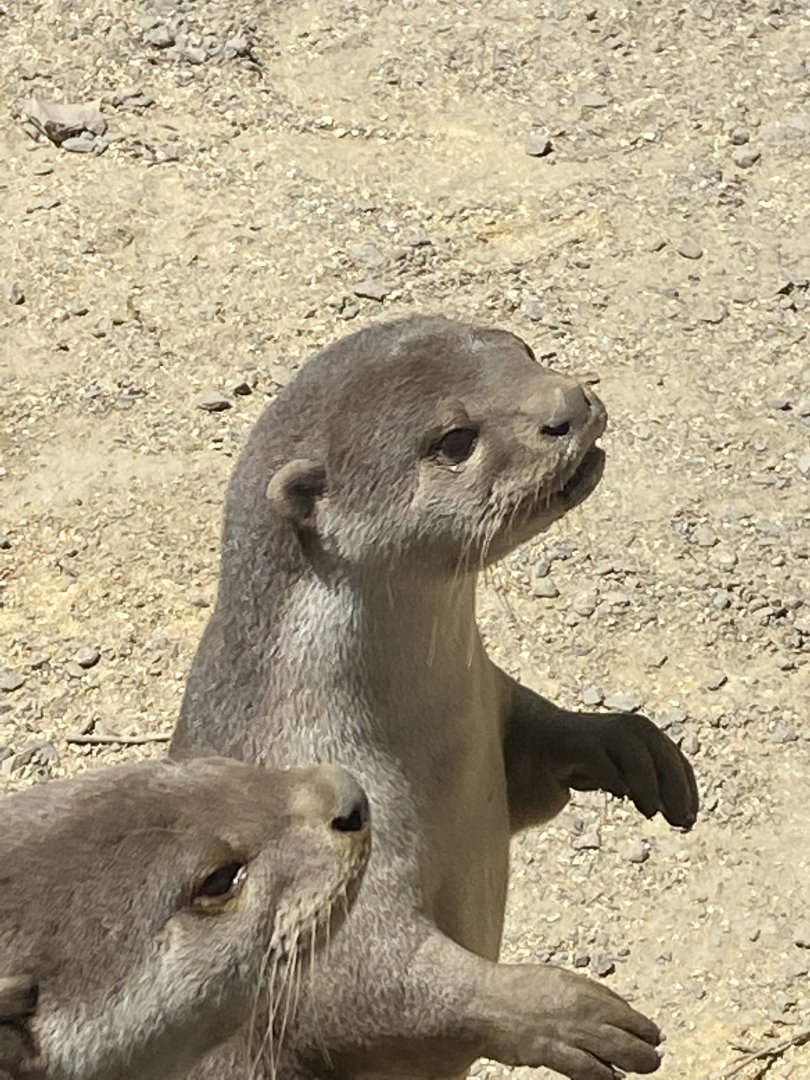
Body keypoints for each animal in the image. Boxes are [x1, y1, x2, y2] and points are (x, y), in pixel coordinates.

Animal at [173, 316, 699, 1080]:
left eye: (525, 350)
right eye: (454, 440)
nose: (569, 404)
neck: (428, 736)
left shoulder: (490, 711)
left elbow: (543, 751)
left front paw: (632, 745)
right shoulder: (314, 831)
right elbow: (359, 981)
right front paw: (567, 1014)